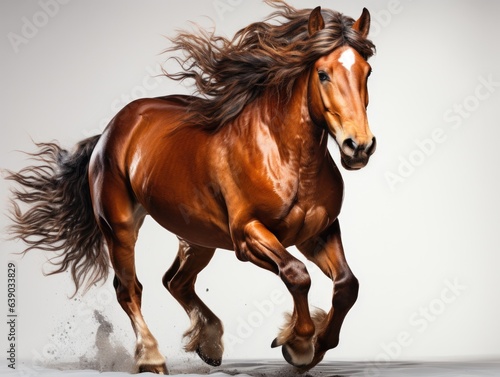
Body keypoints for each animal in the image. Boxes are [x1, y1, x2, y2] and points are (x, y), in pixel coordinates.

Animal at [6, 1, 376, 374]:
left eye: (367, 71)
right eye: (323, 74)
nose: (358, 146)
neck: (287, 156)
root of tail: (111, 130)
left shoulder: (318, 233)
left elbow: (348, 285)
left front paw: (316, 345)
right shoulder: (248, 235)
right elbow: (297, 274)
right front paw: (298, 344)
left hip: (198, 238)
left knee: (175, 281)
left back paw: (209, 343)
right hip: (120, 228)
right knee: (129, 288)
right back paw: (152, 358)